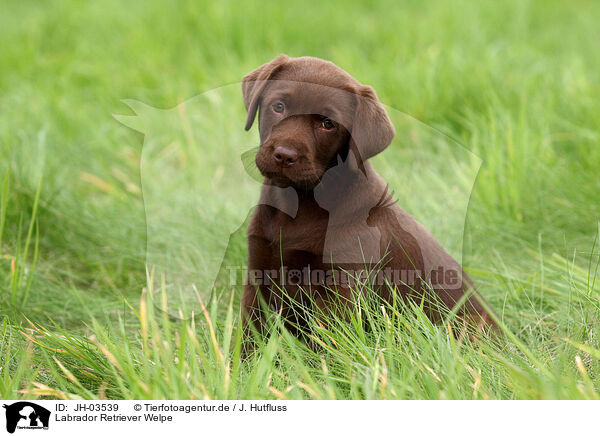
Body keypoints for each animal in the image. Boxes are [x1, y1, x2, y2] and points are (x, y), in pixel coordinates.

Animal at [239, 52, 496, 342]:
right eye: (279, 106)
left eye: (327, 124)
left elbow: (327, 345)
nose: (284, 155)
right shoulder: (259, 275)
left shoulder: (340, 291)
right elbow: (249, 336)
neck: (300, 203)